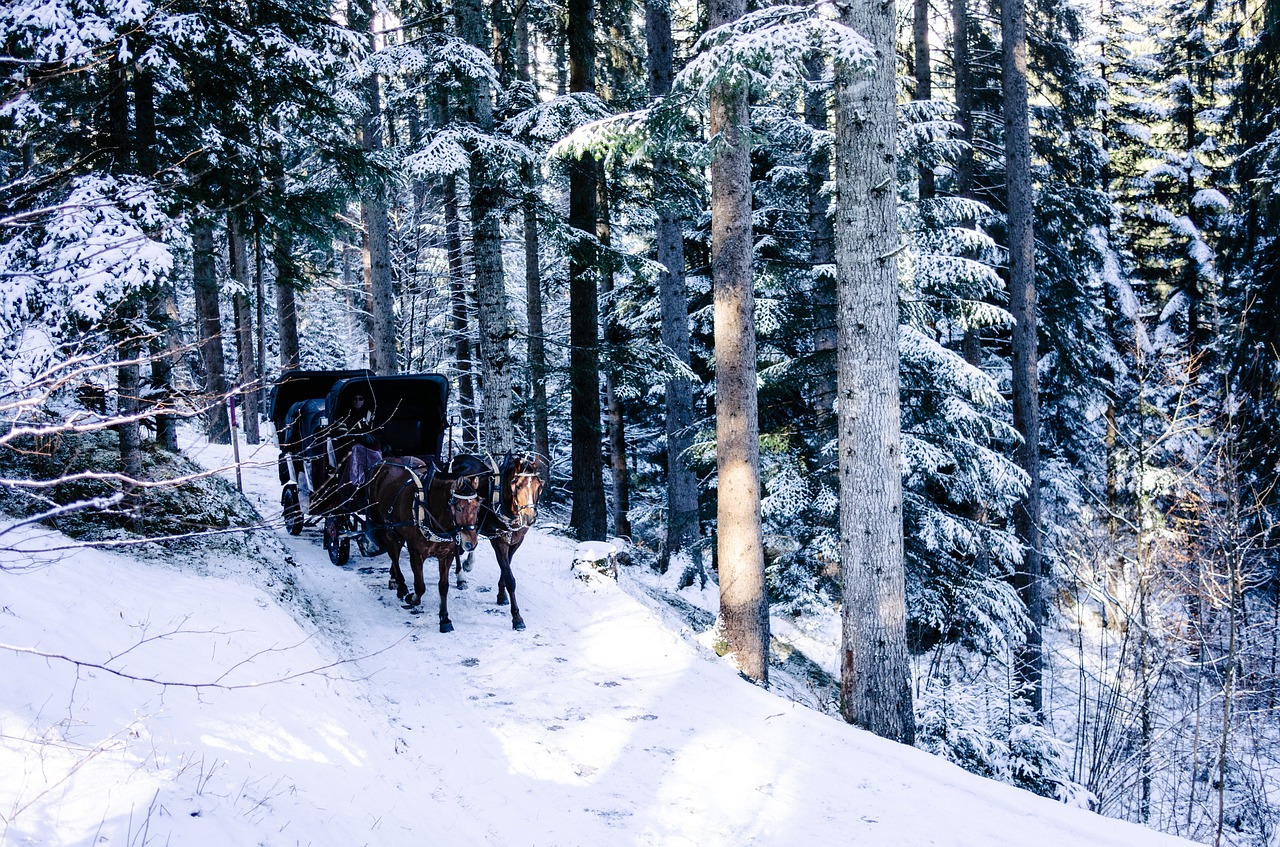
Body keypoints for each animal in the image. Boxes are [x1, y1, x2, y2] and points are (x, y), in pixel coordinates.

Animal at [368, 460, 481, 634]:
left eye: (478, 507)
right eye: (459, 508)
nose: (471, 543)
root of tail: (383, 463)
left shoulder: (446, 554)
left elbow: (443, 586)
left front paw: (444, 618)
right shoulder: (416, 552)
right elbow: (420, 586)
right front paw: (413, 598)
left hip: (396, 532)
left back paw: (393, 577)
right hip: (386, 528)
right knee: (393, 554)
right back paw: (401, 585)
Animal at [453, 455, 547, 634]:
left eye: (539, 486)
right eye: (518, 485)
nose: (529, 517)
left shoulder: (516, 541)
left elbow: (506, 567)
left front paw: (502, 595)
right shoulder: (498, 540)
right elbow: (510, 577)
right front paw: (517, 618)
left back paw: (468, 562)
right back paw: (461, 576)